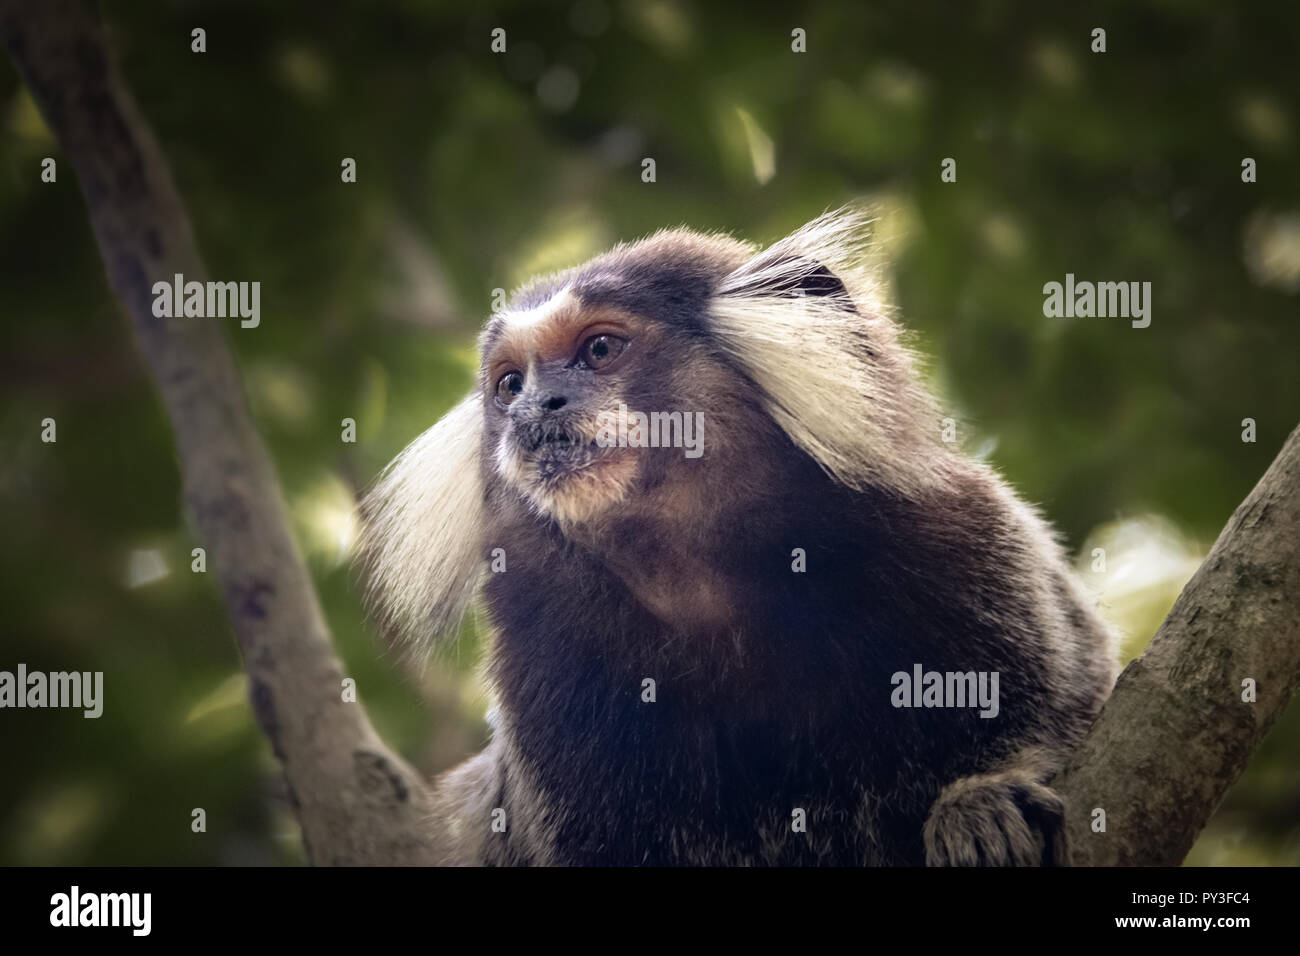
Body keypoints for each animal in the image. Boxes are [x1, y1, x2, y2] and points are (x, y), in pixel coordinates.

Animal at [360, 209, 1119, 866]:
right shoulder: (544, 663)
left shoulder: (958, 530)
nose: (534, 410)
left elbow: (1070, 696)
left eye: (599, 349)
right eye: (509, 384)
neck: (709, 578)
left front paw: (980, 800)